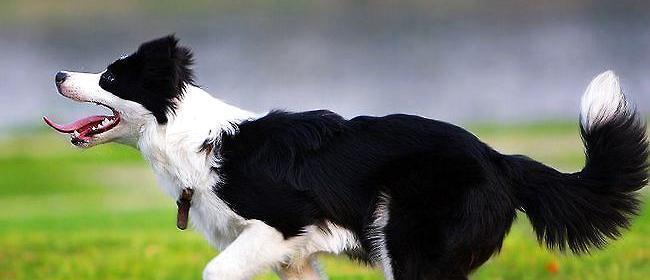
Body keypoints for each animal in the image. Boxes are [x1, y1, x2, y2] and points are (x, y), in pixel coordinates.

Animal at [43, 36, 644, 278]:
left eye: (110, 77)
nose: (57, 73)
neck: (192, 141)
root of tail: (500, 159)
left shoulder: (283, 222)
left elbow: (215, 270)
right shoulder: (293, 257)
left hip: (409, 248)